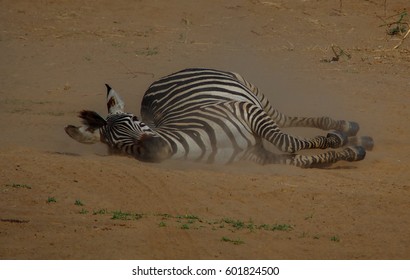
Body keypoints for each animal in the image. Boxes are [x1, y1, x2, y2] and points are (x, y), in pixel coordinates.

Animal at [65, 68, 374, 168]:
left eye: (136, 122)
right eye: (119, 148)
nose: (155, 148)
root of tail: (158, 82)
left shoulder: (246, 111)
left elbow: (289, 142)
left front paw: (338, 139)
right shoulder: (257, 156)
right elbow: (300, 158)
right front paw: (349, 151)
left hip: (252, 94)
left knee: (284, 119)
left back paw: (345, 127)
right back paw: (356, 138)